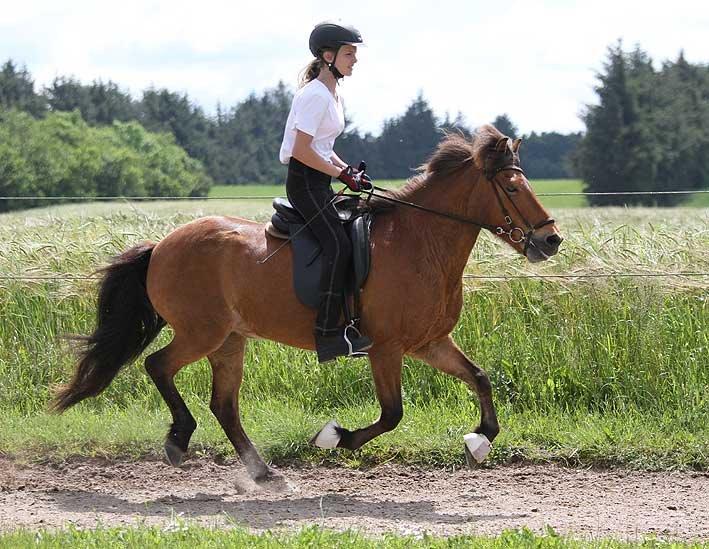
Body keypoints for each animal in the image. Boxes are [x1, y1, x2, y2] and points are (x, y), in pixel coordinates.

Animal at [51, 125, 564, 484]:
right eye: (513, 188)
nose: (551, 240)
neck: (423, 243)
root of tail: (161, 245)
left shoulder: (429, 343)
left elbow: (480, 377)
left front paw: (479, 441)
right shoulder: (386, 348)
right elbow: (392, 414)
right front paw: (333, 437)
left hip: (230, 339)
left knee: (224, 405)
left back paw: (263, 474)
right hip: (203, 332)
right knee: (158, 366)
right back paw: (180, 441)